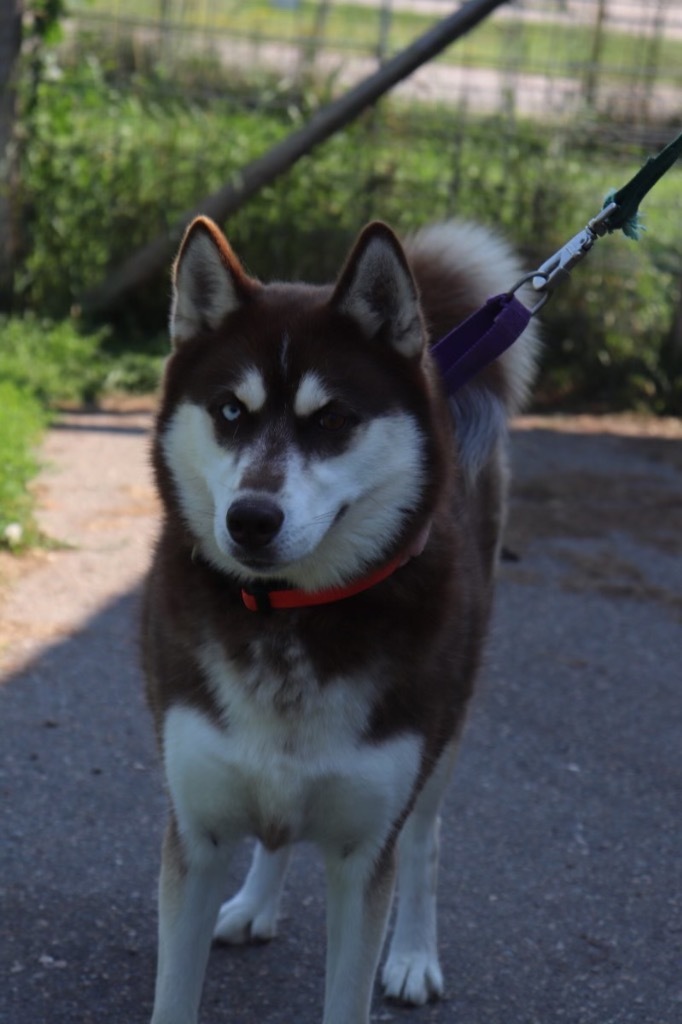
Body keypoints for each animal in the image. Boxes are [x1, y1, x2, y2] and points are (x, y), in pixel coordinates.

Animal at [142, 211, 536, 1019]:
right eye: (230, 411)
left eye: (333, 419)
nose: (250, 519)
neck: (289, 616)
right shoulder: (195, 832)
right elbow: (175, 991)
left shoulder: (364, 853)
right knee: (277, 831)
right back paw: (254, 904)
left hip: (445, 735)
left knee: (424, 840)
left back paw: (414, 954)